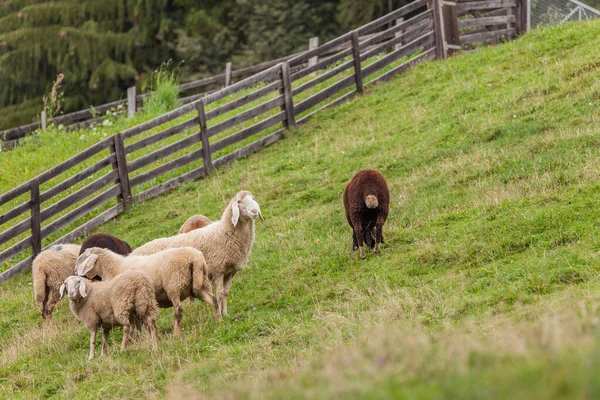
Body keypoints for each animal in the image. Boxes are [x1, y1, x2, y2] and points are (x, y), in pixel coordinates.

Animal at [76, 247, 219, 334]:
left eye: (84, 257)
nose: (76, 271)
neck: (114, 268)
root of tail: (195, 258)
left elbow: (137, 323)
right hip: (200, 284)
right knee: (213, 300)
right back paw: (218, 319)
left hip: (174, 286)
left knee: (178, 311)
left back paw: (176, 333)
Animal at [132, 189, 264, 318]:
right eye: (240, 202)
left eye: (253, 199)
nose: (254, 211)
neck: (224, 232)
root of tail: (132, 254)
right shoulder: (217, 271)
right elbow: (220, 294)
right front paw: (221, 314)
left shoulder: (230, 272)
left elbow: (226, 293)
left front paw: (225, 313)